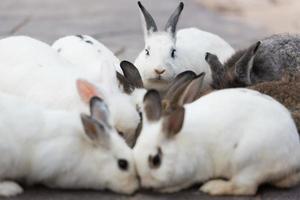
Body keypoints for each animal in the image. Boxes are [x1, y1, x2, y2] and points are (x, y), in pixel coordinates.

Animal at [134, 73, 300, 195]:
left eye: (156, 160)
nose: (142, 183)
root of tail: (293, 160)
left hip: (247, 162)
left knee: (245, 188)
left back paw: (213, 187)